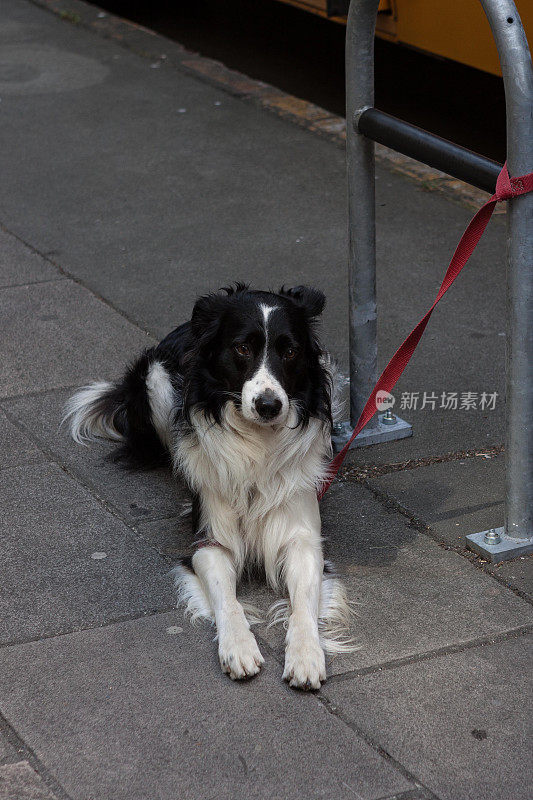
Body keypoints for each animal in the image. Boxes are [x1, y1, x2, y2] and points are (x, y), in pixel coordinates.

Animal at [63, 284, 354, 692]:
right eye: (242, 348)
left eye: (290, 351)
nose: (268, 405)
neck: (257, 444)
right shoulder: (209, 542)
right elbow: (227, 600)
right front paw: (239, 647)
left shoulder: (303, 539)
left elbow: (303, 603)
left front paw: (306, 655)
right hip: (155, 377)